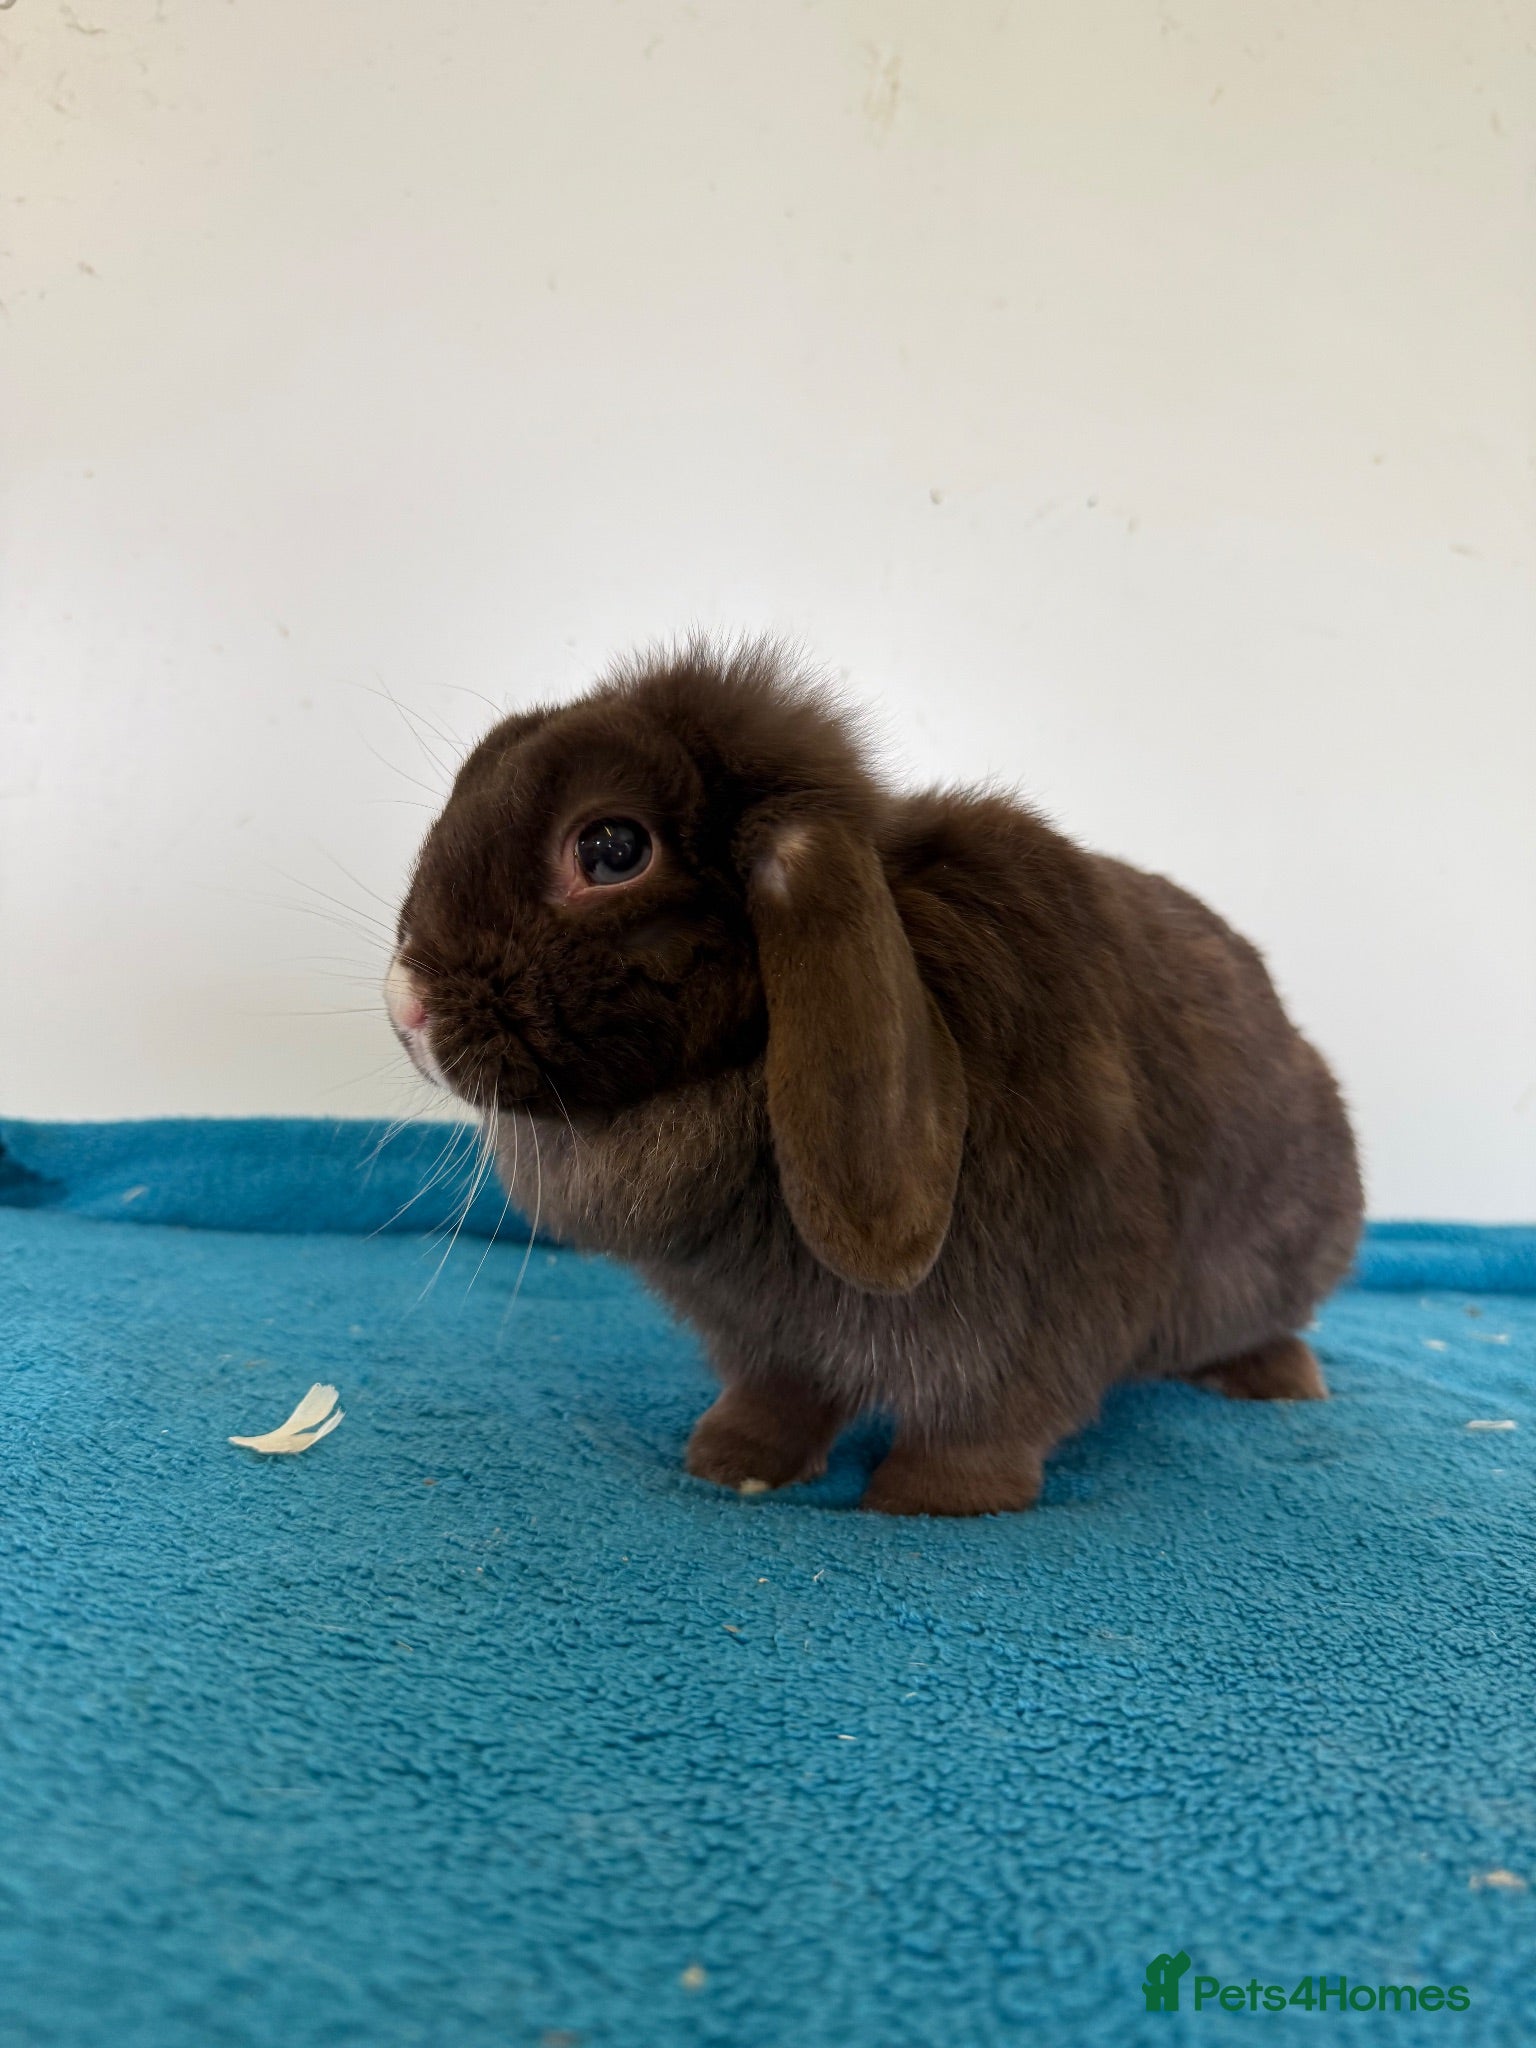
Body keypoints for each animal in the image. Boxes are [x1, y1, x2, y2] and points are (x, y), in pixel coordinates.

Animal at [386, 639, 1363, 1516]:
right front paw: (732, 1464)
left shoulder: (1034, 1310)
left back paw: (1279, 1379)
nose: (405, 1007)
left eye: (614, 847)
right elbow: (781, 1397)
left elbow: (987, 1420)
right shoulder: (766, 1336)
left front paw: (928, 1502)